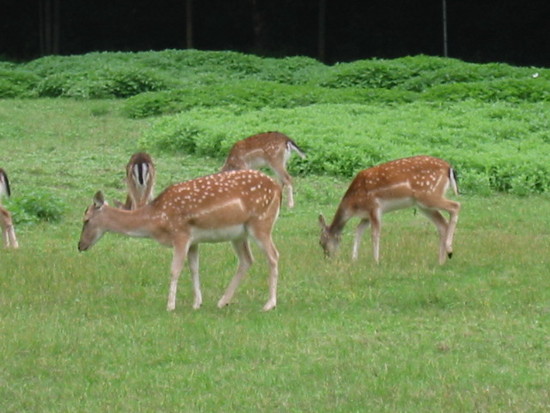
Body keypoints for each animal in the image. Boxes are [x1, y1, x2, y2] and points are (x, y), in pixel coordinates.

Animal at [78, 169, 284, 310]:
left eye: (86, 220)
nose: (80, 245)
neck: (155, 219)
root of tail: (278, 189)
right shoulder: (193, 241)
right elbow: (194, 268)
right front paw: (197, 303)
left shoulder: (180, 234)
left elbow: (175, 269)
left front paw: (170, 305)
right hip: (239, 234)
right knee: (247, 260)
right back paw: (222, 301)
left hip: (261, 223)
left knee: (273, 255)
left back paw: (270, 304)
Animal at [320, 154, 462, 264]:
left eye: (321, 242)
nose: (327, 257)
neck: (353, 205)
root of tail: (449, 168)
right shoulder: (366, 216)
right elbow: (358, 231)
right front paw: (354, 259)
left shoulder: (374, 207)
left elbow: (375, 234)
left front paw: (376, 261)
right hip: (423, 205)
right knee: (442, 224)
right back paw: (441, 261)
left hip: (428, 195)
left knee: (456, 205)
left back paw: (450, 251)